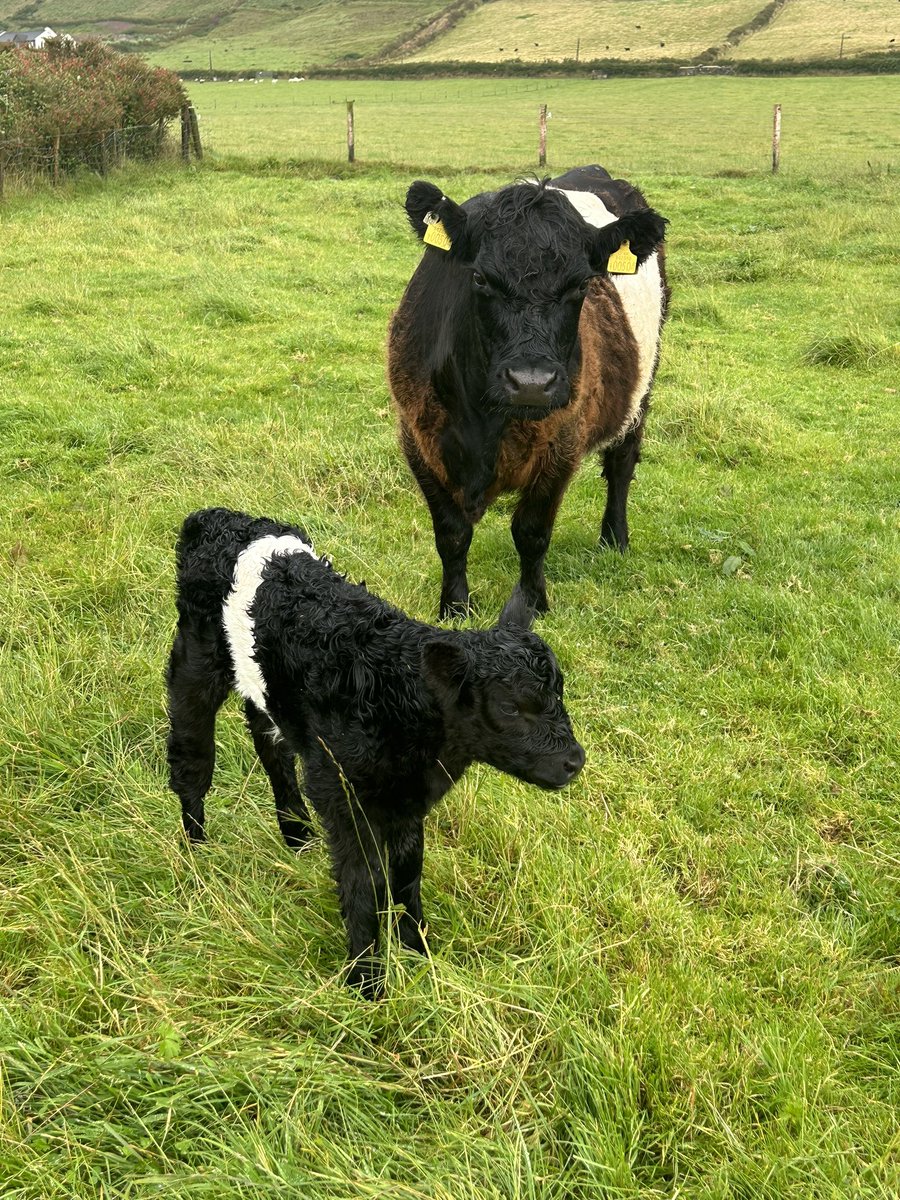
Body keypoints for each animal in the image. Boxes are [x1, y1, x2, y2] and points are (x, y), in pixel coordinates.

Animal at [388, 164, 669, 626]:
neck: (484, 422)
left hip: (642, 388)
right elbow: (451, 533)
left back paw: (615, 539)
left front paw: (534, 603)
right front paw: (454, 607)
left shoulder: (563, 443)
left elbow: (532, 531)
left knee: (621, 463)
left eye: (581, 285)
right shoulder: (417, 436)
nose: (532, 382)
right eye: (480, 278)